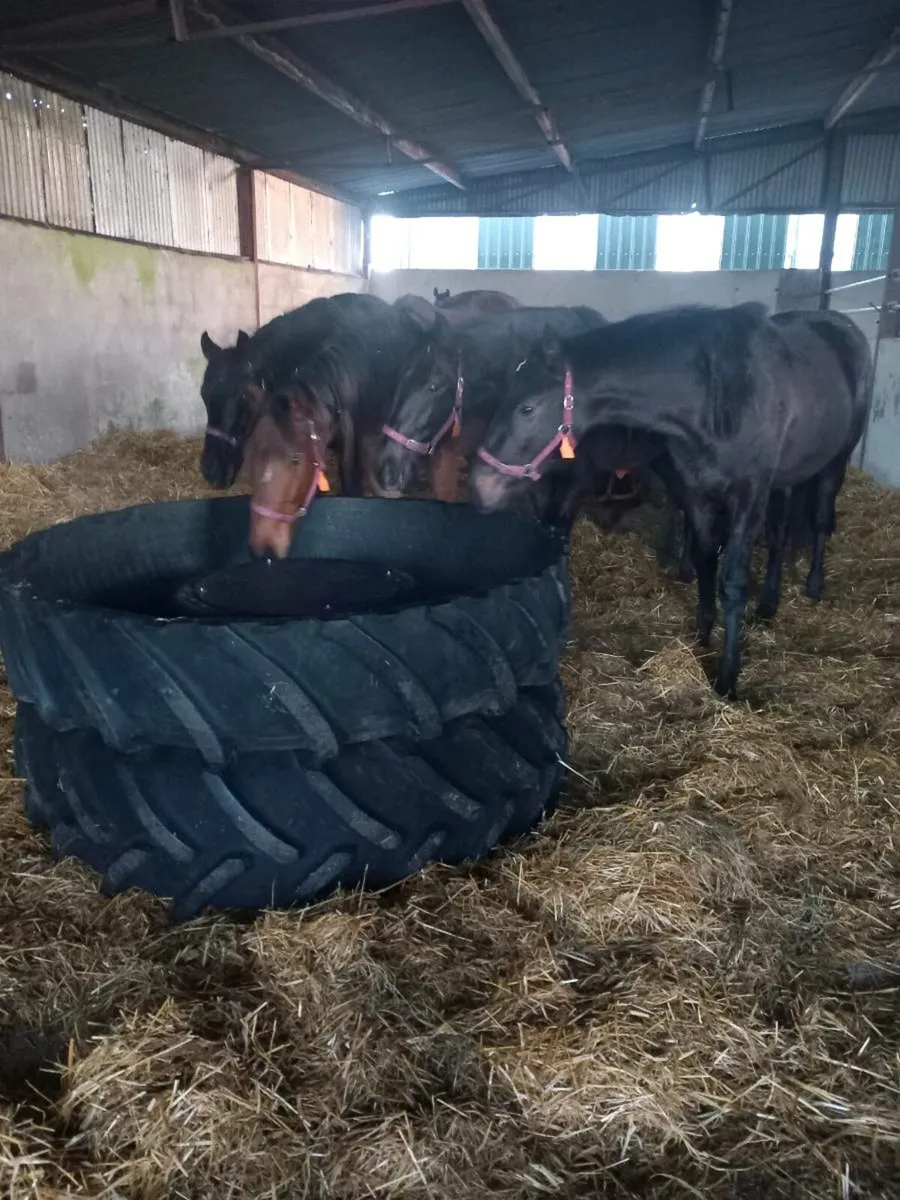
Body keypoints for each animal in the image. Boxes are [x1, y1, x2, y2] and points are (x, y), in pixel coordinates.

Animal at [469, 303, 872, 700]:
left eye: (527, 409)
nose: (480, 484)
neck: (718, 395)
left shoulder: (747, 497)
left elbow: (732, 583)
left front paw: (727, 677)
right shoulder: (698, 495)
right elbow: (706, 562)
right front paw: (702, 639)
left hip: (832, 465)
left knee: (819, 522)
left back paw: (814, 586)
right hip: (787, 479)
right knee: (779, 535)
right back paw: (769, 602)